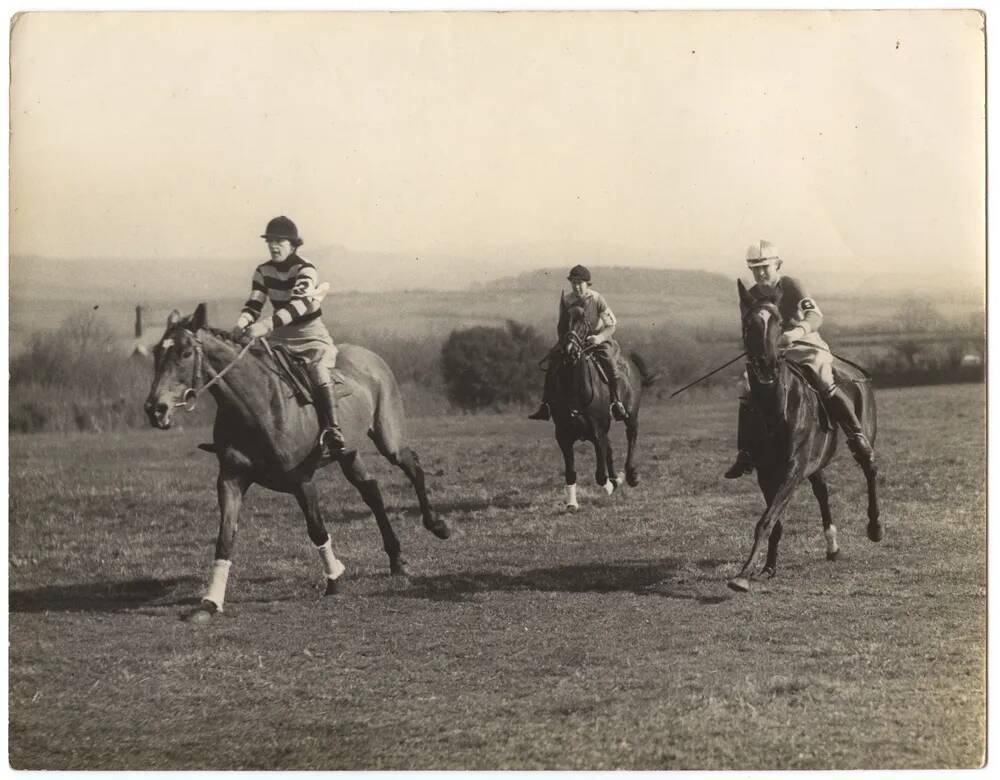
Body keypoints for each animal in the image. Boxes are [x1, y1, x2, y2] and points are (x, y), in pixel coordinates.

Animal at [144, 302, 450, 620]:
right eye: (156, 353)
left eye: (185, 353)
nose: (155, 409)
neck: (258, 406)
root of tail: (371, 357)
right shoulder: (230, 480)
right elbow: (225, 538)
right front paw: (209, 602)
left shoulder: (302, 481)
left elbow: (317, 530)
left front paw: (335, 580)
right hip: (348, 452)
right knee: (372, 490)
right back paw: (396, 559)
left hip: (388, 438)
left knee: (413, 467)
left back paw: (437, 526)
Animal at [548, 304, 656, 512]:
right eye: (563, 320)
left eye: (583, 322)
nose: (570, 350)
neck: (575, 390)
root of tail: (630, 358)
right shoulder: (563, 436)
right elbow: (571, 472)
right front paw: (572, 504)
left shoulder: (597, 432)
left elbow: (599, 475)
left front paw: (611, 484)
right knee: (610, 448)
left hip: (631, 415)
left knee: (631, 436)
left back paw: (630, 475)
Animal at [728, 280, 884, 592]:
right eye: (748, 324)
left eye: (778, 322)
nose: (767, 364)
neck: (775, 408)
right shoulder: (767, 472)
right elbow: (773, 520)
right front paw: (768, 567)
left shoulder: (793, 468)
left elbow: (766, 520)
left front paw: (743, 575)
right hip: (816, 461)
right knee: (822, 492)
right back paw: (832, 546)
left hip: (861, 433)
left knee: (869, 467)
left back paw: (875, 527)